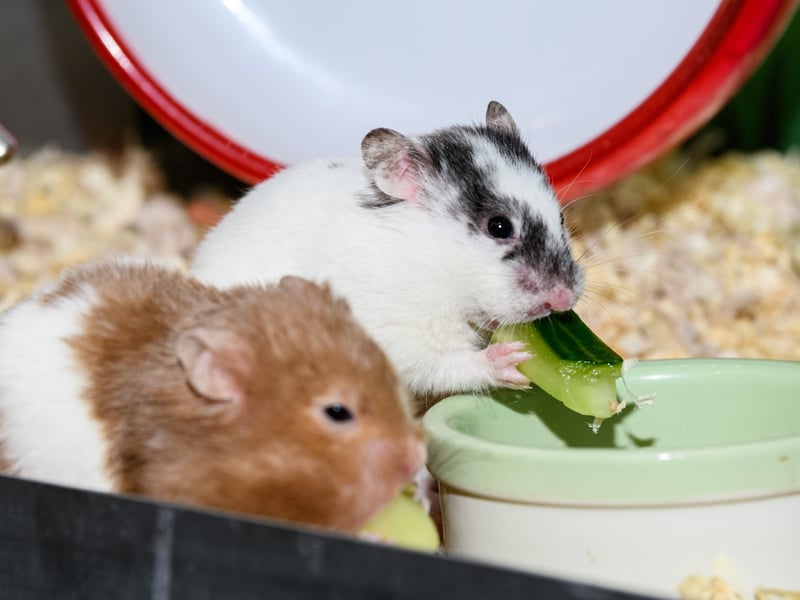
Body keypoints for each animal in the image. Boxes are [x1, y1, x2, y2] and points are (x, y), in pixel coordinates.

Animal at [191, 101, 584, 402]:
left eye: (561, 217)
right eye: (499, 227)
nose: (564, 299)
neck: (425, 259)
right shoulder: (398, 336)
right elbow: (446, 364)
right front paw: (511, 360)